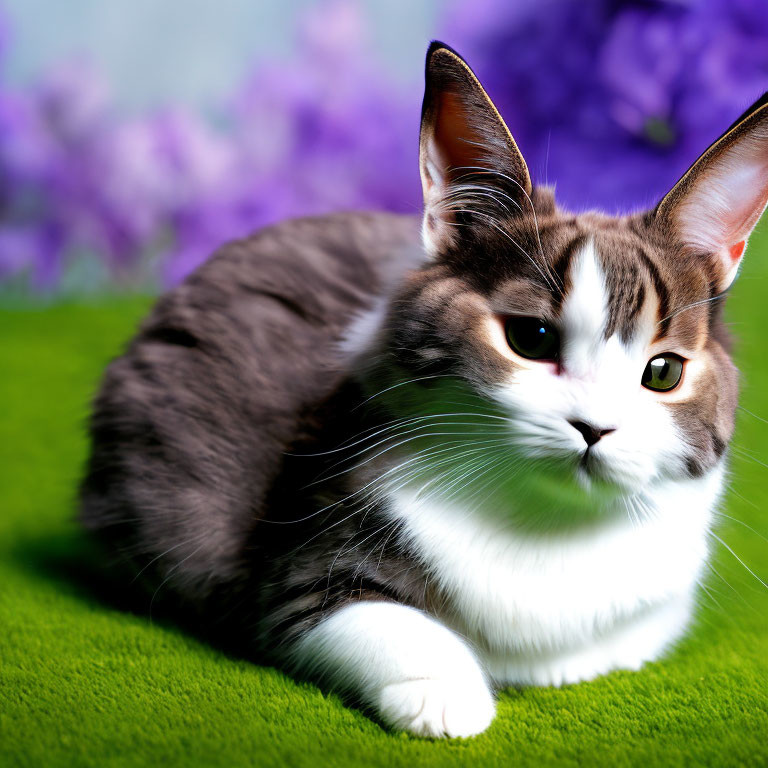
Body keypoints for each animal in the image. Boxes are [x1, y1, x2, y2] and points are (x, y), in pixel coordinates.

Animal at [79, 43, 768, 736]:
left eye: (663, 372)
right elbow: (359, 612)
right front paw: (444, 691)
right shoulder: (305, 543)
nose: (595, 428)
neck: (545, 522)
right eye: (532, 337)